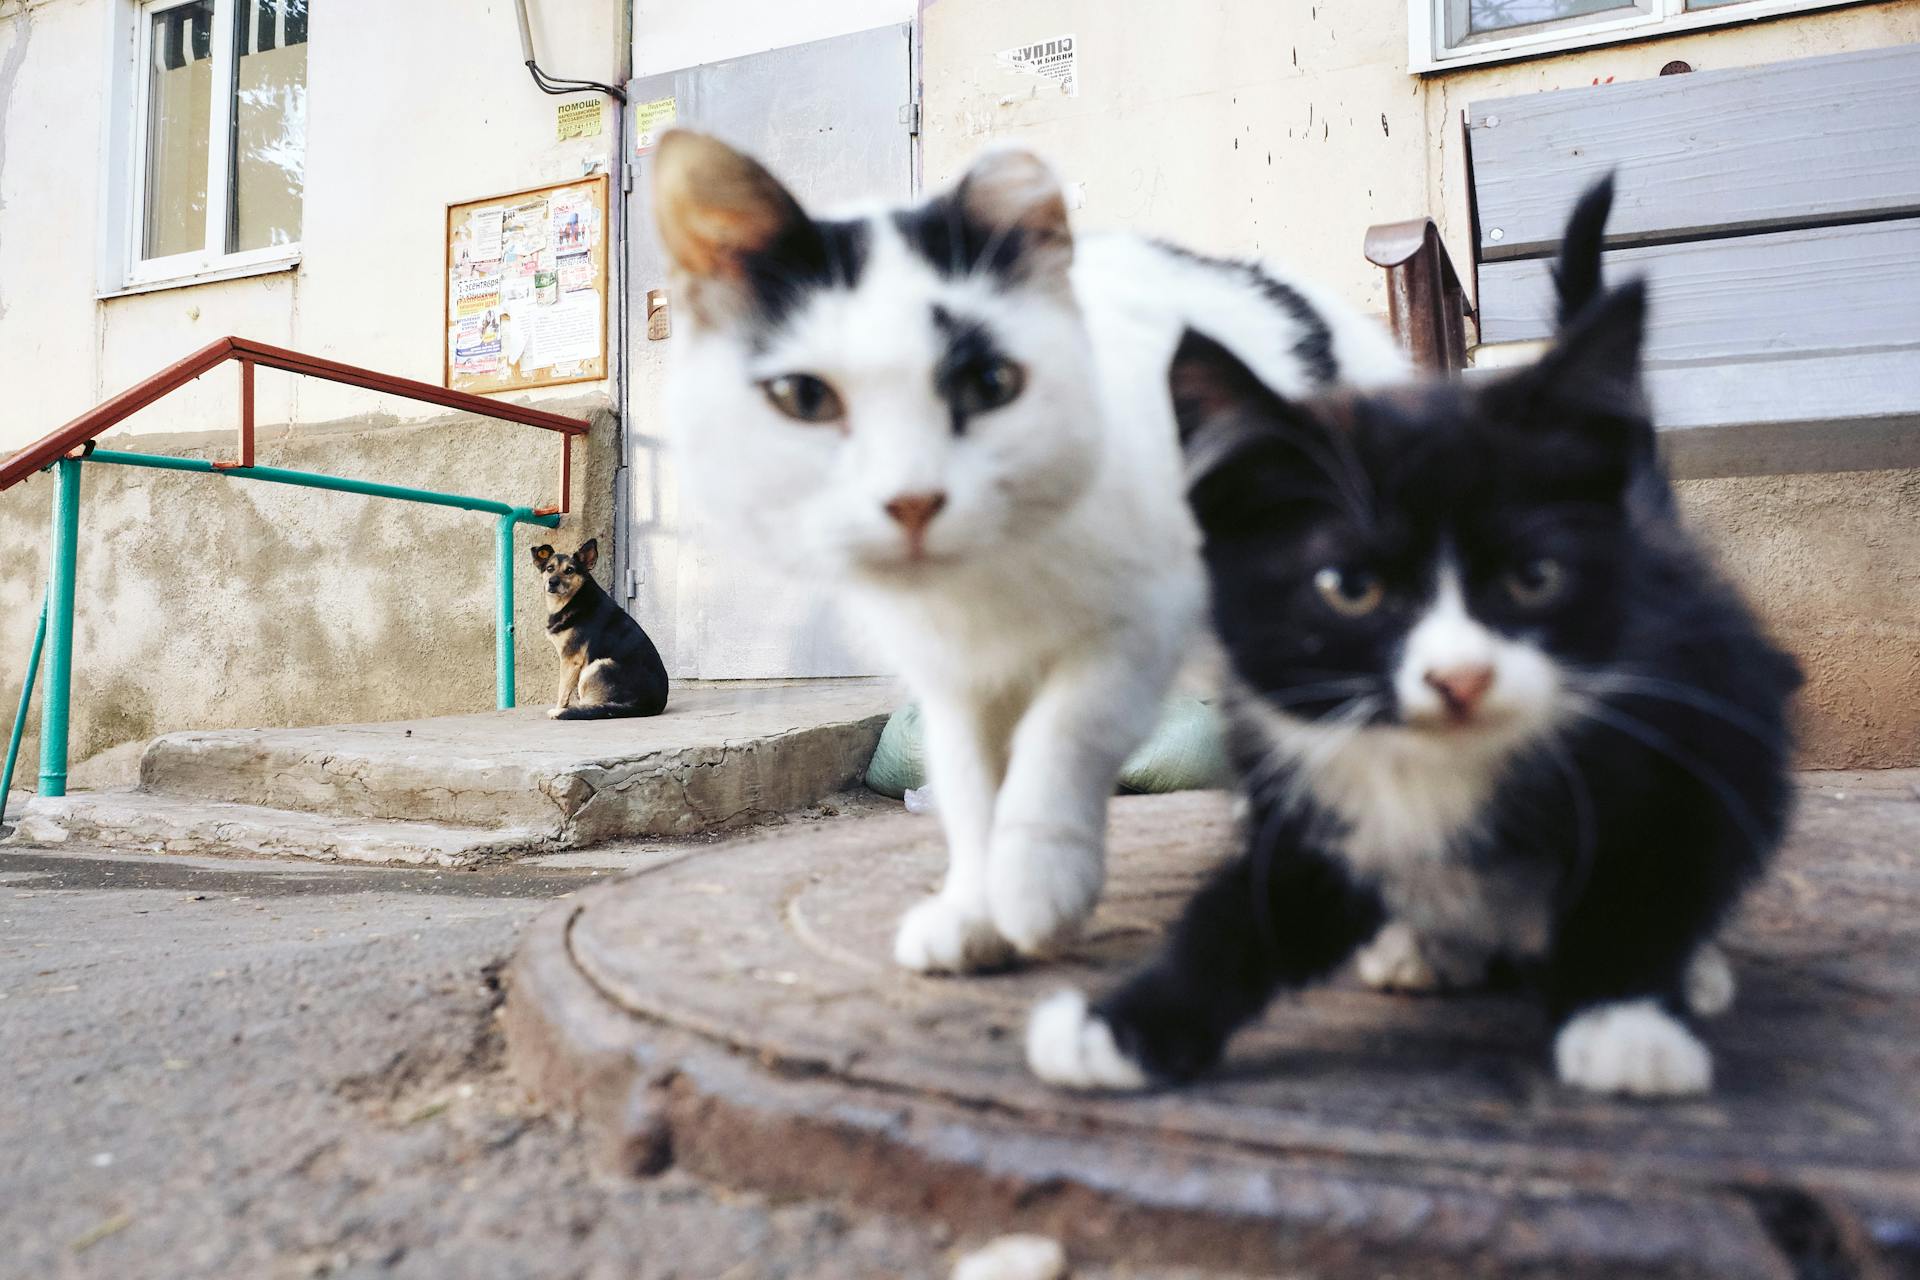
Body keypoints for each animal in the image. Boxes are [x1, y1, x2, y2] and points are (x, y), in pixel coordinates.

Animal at [529, 541, 672, 721]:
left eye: (569, 570)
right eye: (549, 568)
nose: (552, 582)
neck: (574, 598)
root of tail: (648, 705)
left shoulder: (570, 660)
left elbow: (562, 690)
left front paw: (559, 709)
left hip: (595, 667)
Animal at [652, 132, 1405, 971]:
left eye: (990, 384)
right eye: (805, 399)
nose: (913, 501)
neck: (987, 578)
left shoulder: (1139, 625)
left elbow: (1061, 737)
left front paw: (1035, 886)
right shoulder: (951, 678)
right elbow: (969, 785)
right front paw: (976, 916)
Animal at [1036, 180, 1797, 1105]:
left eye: (1535, 577)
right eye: (1349, 588)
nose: (1460, 679)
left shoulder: (1688, 723)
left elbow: (1646, 875)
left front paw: (1625, 1022)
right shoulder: (1308, 787)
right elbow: (1251, 911)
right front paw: (1123, 1028)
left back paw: (1693, 971)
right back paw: (1427, 945)